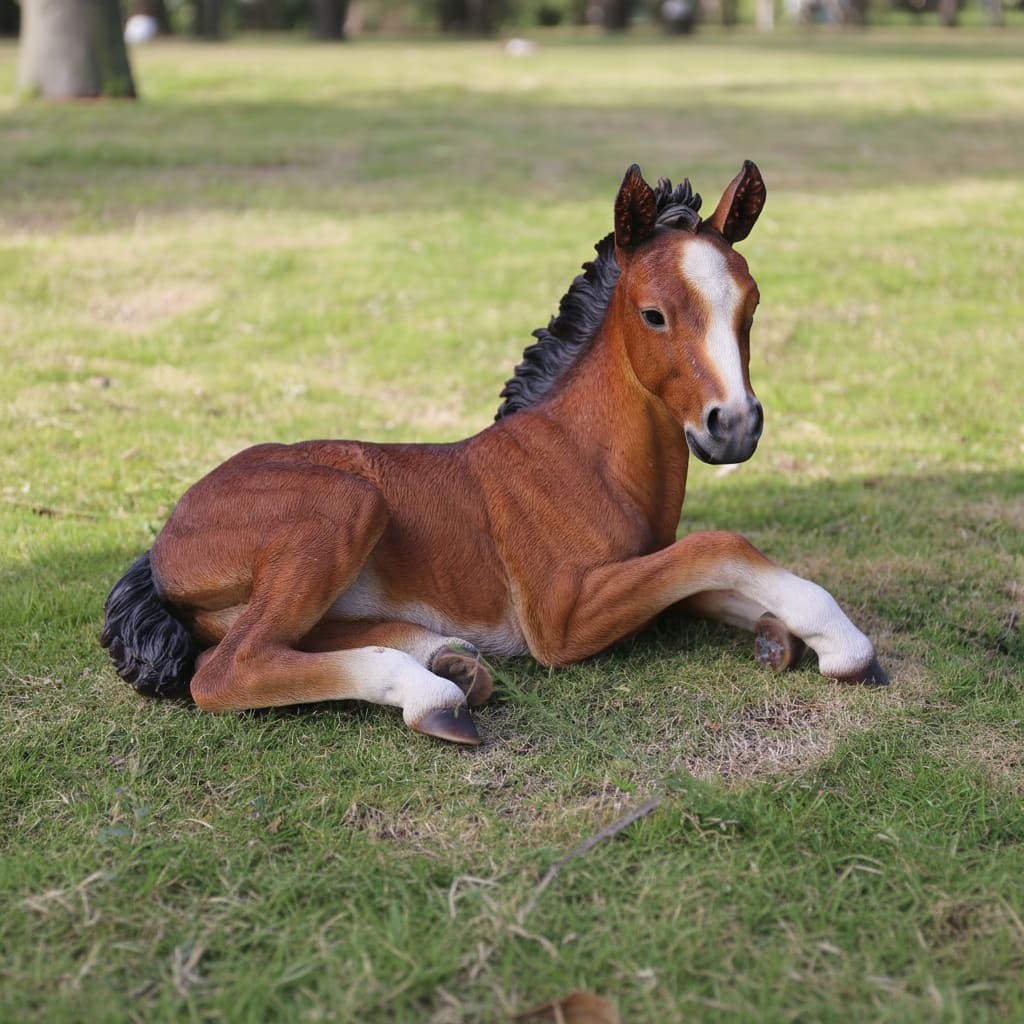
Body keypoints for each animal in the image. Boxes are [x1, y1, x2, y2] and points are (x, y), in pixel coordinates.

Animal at [101, 161, 888, 746]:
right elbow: (719, 547)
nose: (735, 426)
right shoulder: (563, 618)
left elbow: (710, 585)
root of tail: (163, 542)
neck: (582, 458)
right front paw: (844, 645)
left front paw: (777, 636)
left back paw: (449, 657)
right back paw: (433, 692)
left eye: (750, 306)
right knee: (229, 669)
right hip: (345, 504)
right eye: (653, 314)